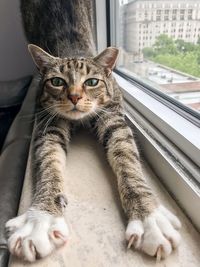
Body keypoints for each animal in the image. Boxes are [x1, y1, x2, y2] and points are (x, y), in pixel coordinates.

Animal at [5, 0, 181, 264]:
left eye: (91, 82)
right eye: (57, 81)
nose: (75, 97)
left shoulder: (114, 117)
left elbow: (127, 159)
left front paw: (149, 217)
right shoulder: (48, 124)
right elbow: (48, 162)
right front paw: (41, 219)